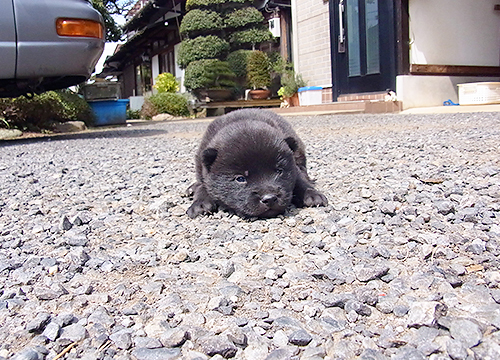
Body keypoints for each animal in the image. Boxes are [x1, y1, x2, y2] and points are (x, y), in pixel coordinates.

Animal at [188, 108, 328, 218]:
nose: (269, 198)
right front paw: (200, 204)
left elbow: (299, 180)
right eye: (240, 179)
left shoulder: (294, 167)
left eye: (279, 171)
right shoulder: (203, 172)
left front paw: (312, 194)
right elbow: (202, 186)